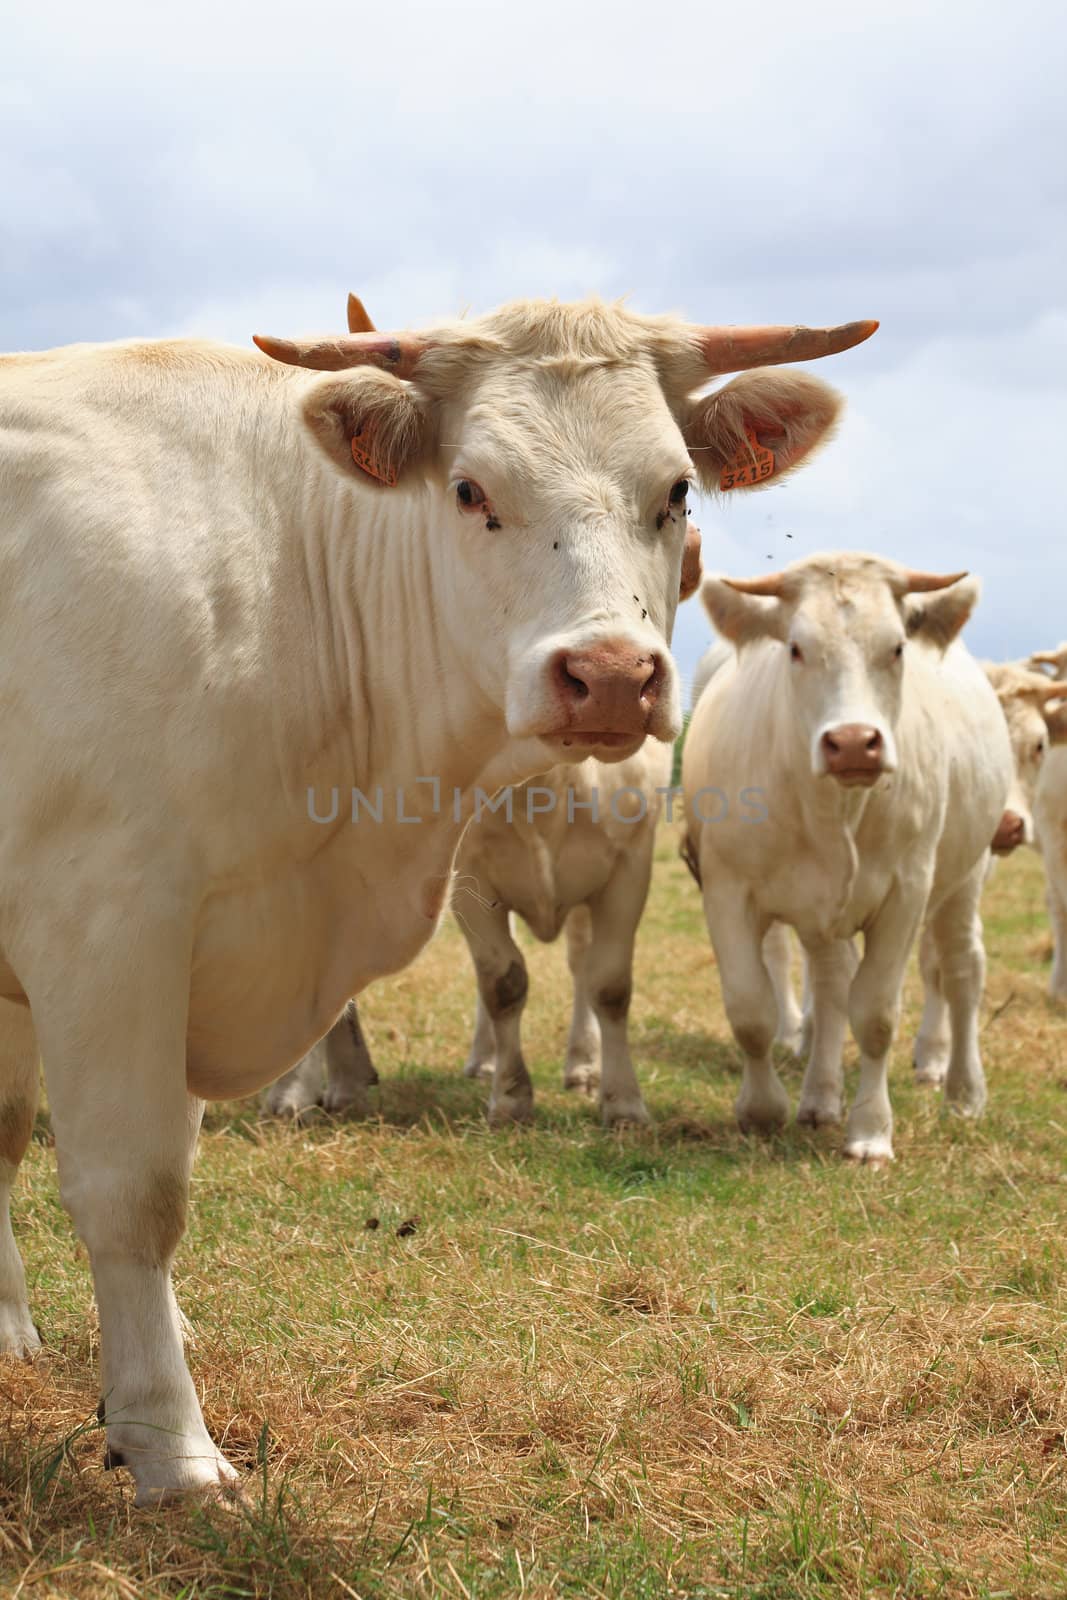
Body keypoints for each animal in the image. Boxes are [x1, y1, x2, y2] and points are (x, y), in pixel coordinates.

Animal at [0, 305, 876, 1504]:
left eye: (676, 491)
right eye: (469, 489)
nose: (611, 676)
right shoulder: (109, 927)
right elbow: (132, 1192)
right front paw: (171, 1447)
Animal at [681, 553, 1017, 1164]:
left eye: (898, 647)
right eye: (795, 648)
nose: (855, 742)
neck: (829, 805)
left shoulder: (907, 892)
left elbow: (876, 1014)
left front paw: (870, 1131)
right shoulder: (726, 888)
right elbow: (751, 1009)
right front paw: (762, 1109)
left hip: (964, 878)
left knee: (962, 970)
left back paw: (963, 1090)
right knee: (832, 982)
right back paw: (819, 1098)